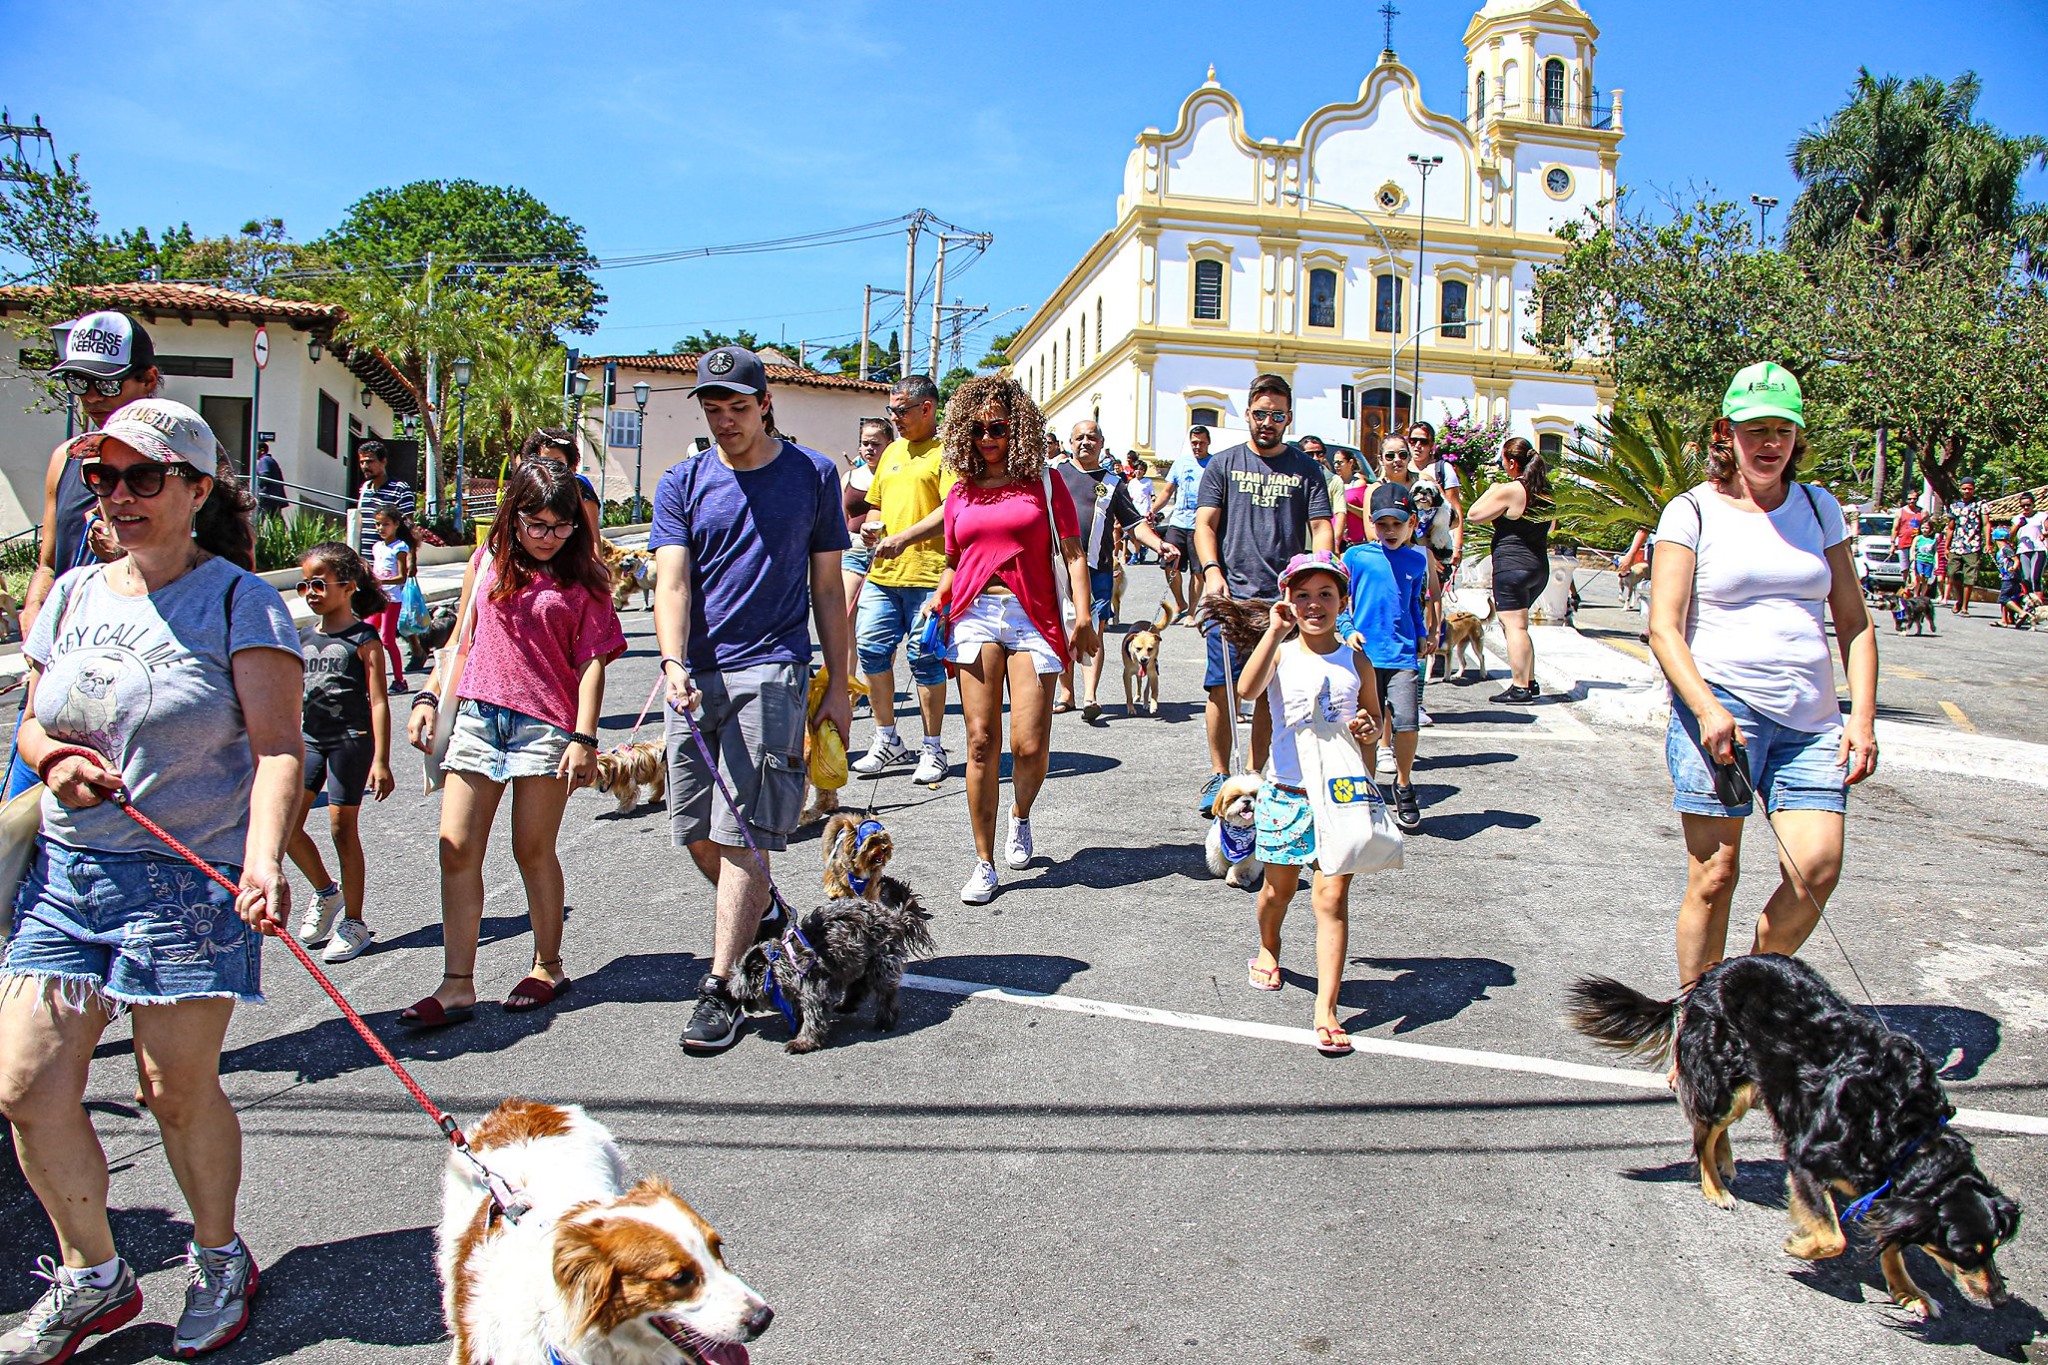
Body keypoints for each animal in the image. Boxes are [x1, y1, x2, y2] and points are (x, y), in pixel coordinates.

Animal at [729, 875, 937, 1055]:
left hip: (881, 964)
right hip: (859, 961)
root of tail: (894, 918)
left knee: (885, 995)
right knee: (859, 987)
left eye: (745, 995)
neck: (786, 961)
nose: (747, 1007)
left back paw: (885, 1021)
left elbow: (812, 1018)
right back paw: (846, 1005)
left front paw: (803, 1042)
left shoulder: (812, 991)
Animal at [1564, 949, 2015, 1326]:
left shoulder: (1888, 1188)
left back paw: (1726, 1162)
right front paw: (1800, 1247)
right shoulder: (1808, 1159)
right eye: (1963, 1251)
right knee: (1702, 1132)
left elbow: (1892, 1242)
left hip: (1754, 1084)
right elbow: (1833, 1237)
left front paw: (1908, 1291)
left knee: (1715, 1131)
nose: (2000, 1301)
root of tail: (1715, 972)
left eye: (1995, 1246)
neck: (1903, 1132)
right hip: (1726, 1079)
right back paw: (1714, 1186)